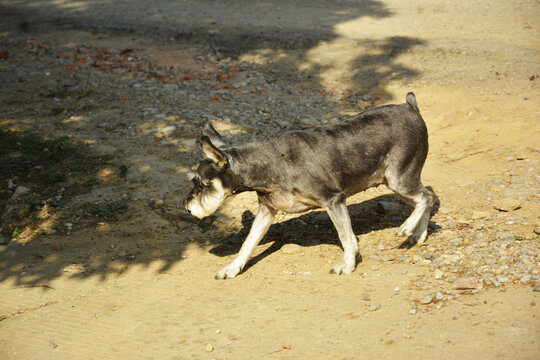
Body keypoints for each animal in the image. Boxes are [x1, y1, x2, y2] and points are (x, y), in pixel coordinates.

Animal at [184, 92, 436, 278]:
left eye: (202, 185)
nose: (187, 207)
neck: (268, 164)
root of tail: (411, 107)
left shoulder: (333, 200)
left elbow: (345, 236)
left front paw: (347, 265)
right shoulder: (267, 210)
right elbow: (248, 242)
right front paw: (233, 268)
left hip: (399, 179)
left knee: (426, 197)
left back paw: (407, 227)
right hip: (395, 183)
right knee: (428, 195)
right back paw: (418, 234)